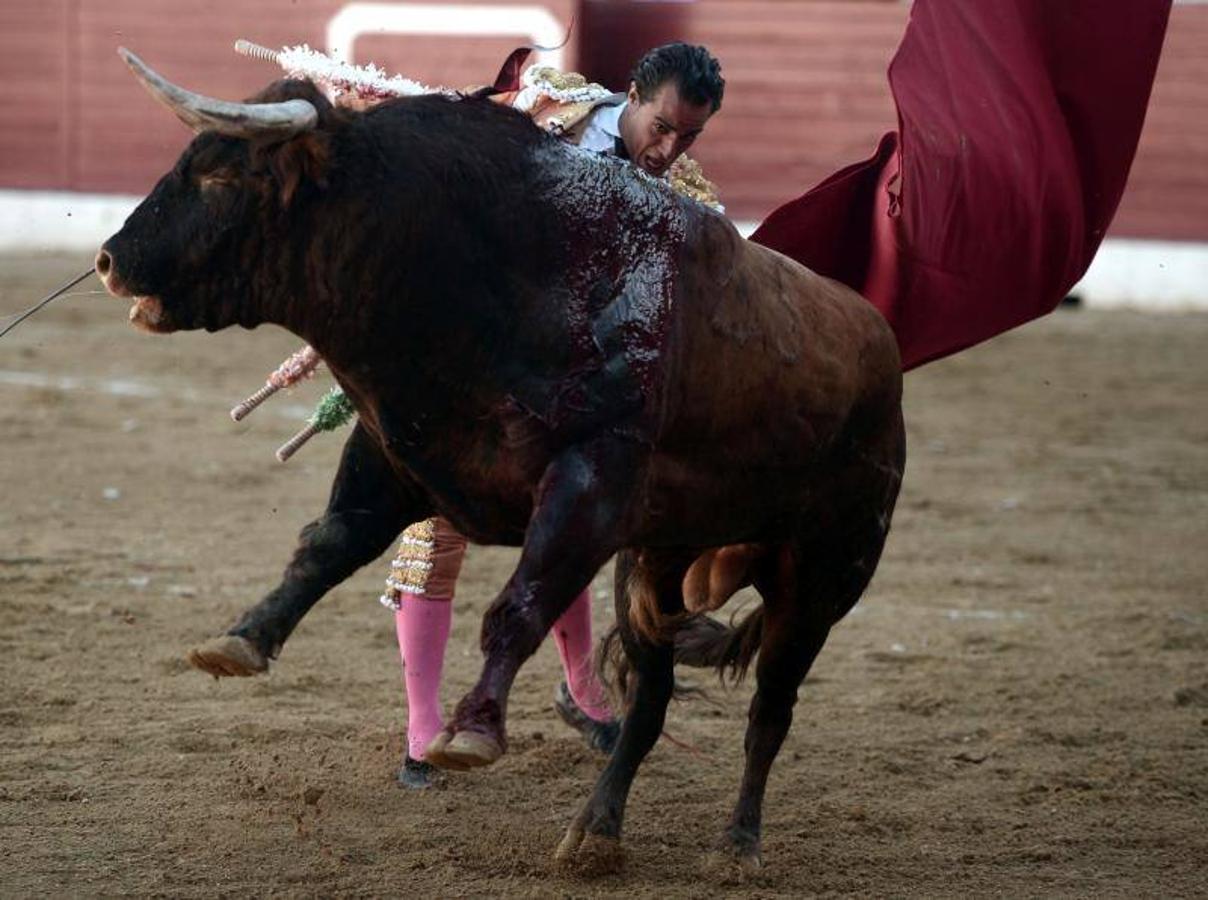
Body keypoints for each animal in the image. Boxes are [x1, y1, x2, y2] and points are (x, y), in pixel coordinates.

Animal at [99, 51, 903, 869]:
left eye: (220, 177)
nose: (110, 260)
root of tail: (880, 341)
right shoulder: (400, 451)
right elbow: (325, 547)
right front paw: (241, 639)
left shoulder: (588, 481)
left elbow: (521, 602)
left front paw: (473, 730)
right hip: (654, 569)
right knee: (649, 703)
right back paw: (595, 833)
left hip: (824, 575)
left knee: (771, 707)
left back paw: (737, 844)